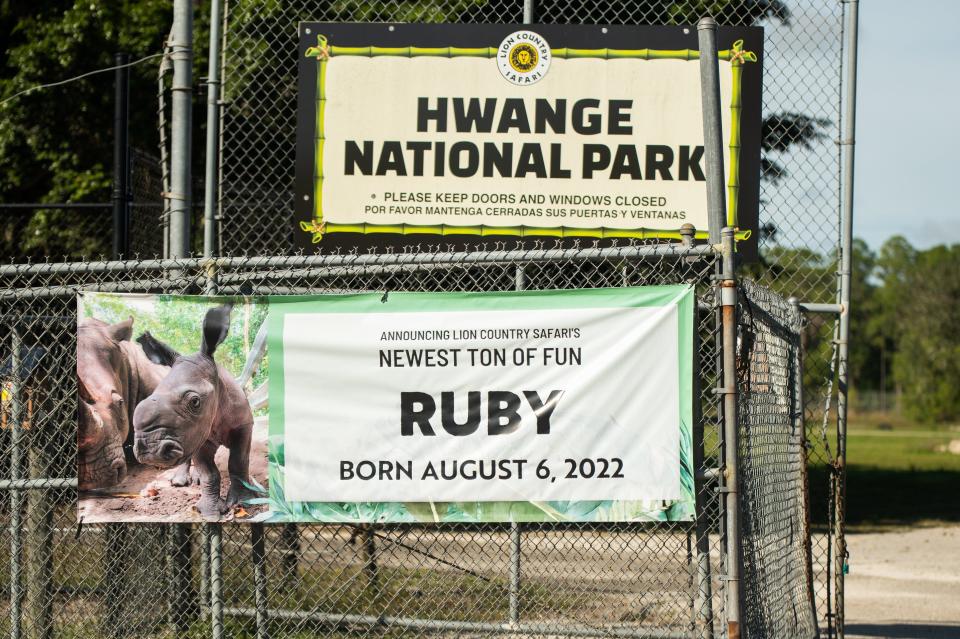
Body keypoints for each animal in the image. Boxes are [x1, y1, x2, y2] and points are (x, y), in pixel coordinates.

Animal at [133, 304, 258, 520]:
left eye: (195, 401)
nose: (150, 451)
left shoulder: (243, 425)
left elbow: (238, 461)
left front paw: (243, 501)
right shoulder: (197, 433)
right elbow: (209, 472)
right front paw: (208, 512)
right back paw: (179, 482)